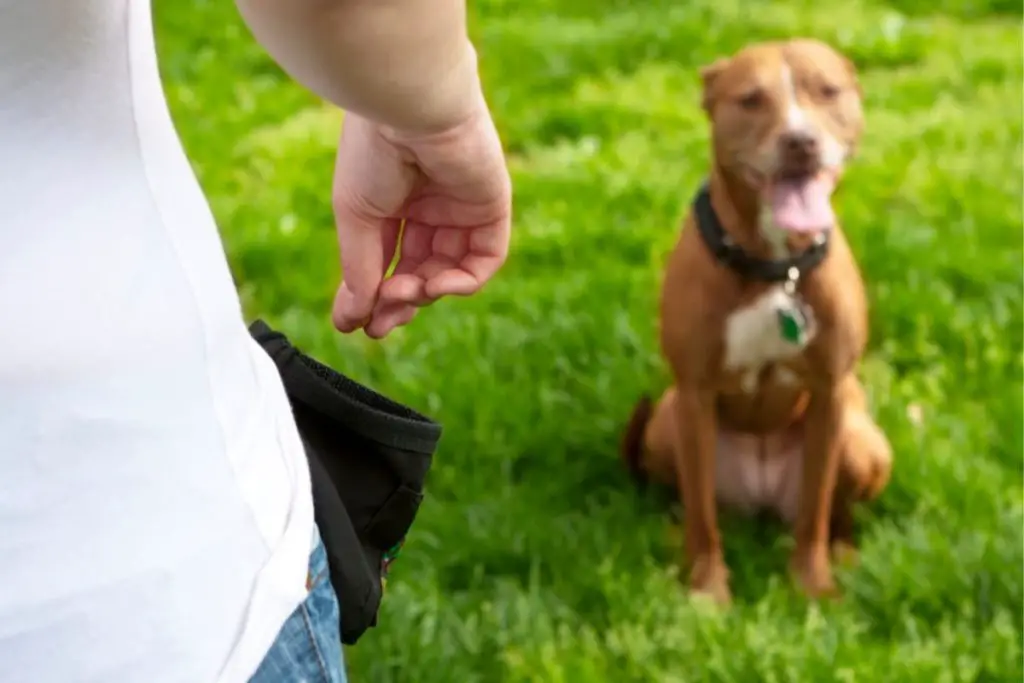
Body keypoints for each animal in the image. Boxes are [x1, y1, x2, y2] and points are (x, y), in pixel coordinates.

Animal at [618, 38, 892, 602]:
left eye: (827, 90)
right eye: (750, 99)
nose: (800, 141)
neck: (776, 266)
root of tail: (761, 499)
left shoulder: (830, 394)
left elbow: (814, 508)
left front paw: (812, 584)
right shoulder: (695, 393)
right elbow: (702, 515)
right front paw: (707, 592)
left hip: (863, 441)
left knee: (833, 508)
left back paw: (844, 552)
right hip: (667, 424)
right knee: (689, 499)